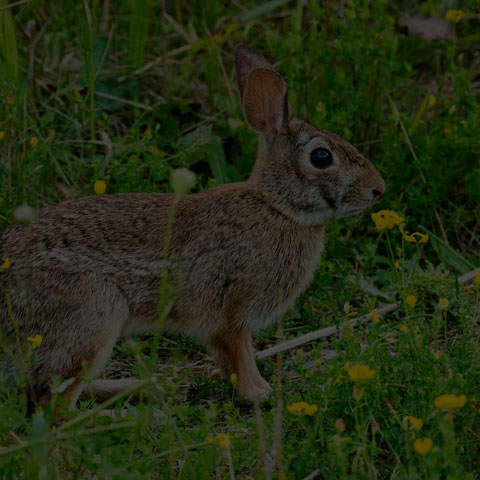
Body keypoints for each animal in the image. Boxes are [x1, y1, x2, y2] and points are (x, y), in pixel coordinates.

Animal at [0, 44, 384, 408]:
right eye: (321, 157)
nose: (378, 188)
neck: (277, 207)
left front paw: (265, 390)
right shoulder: (229, 316)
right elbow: (237, 360)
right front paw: (259, 394)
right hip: (95, 313)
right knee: (53, 404)